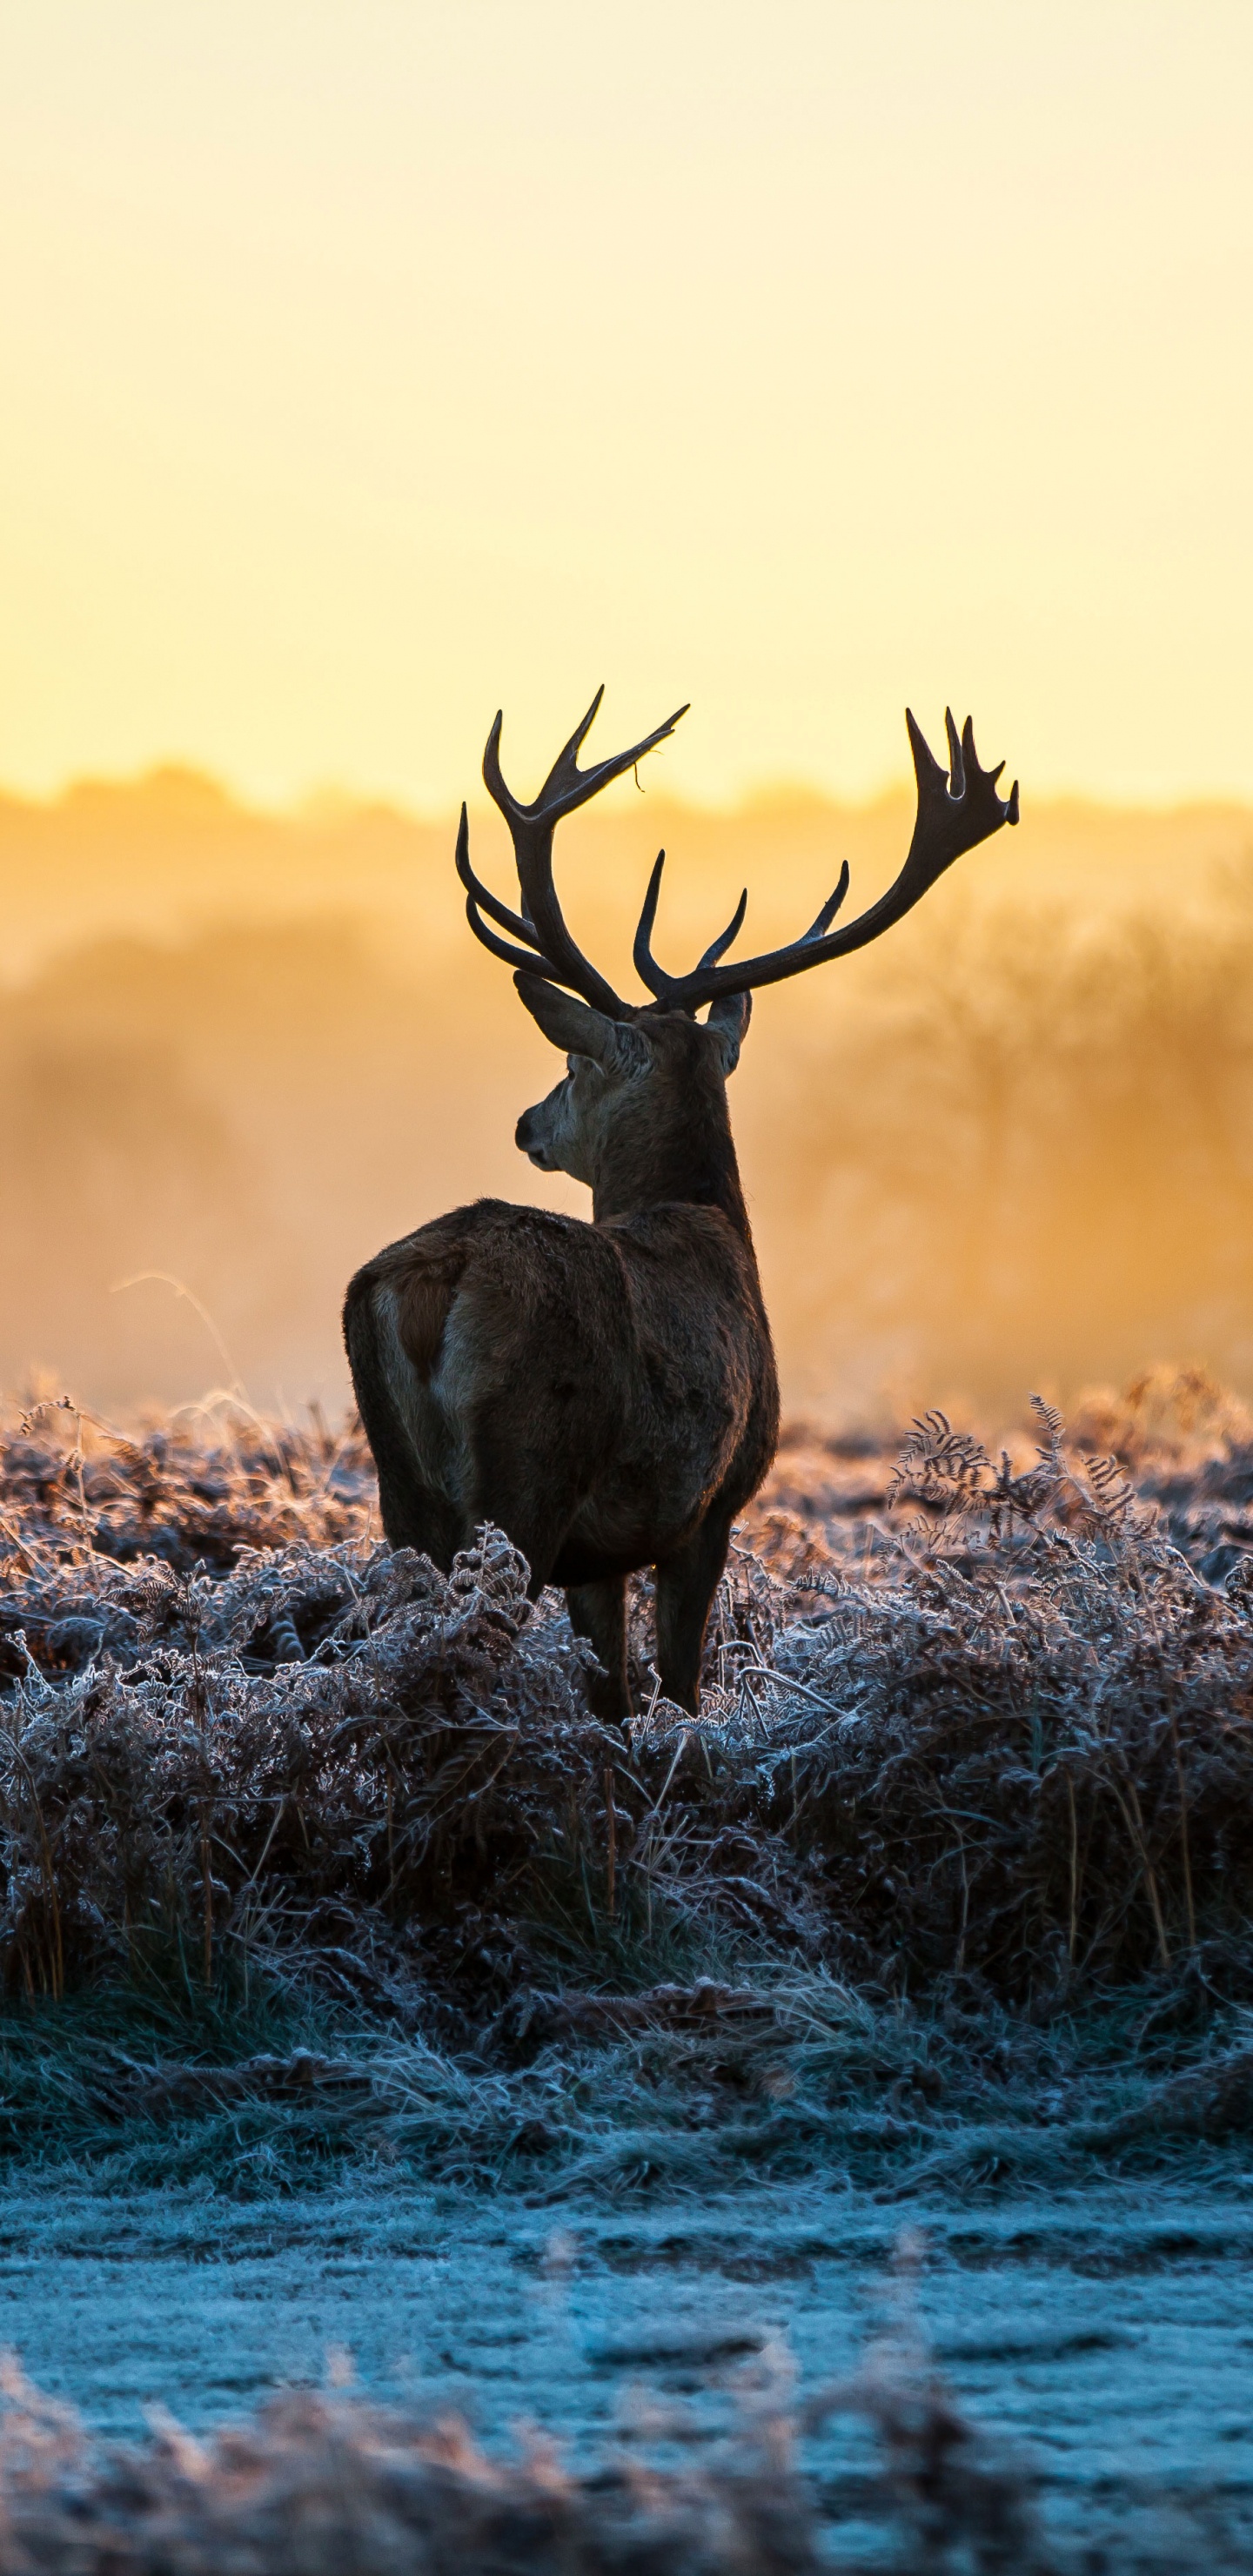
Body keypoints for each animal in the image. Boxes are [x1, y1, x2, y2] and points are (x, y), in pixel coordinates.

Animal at [343, 695, 1015, 1721]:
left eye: (573, 1062)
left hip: (402, 1492)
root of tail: (431, 1281)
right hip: (529, 1473)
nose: (527, 1122)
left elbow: (613, 1694)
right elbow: (681, 1690)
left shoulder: (604, 1553)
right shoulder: (710, 1505)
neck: (709, 1222)